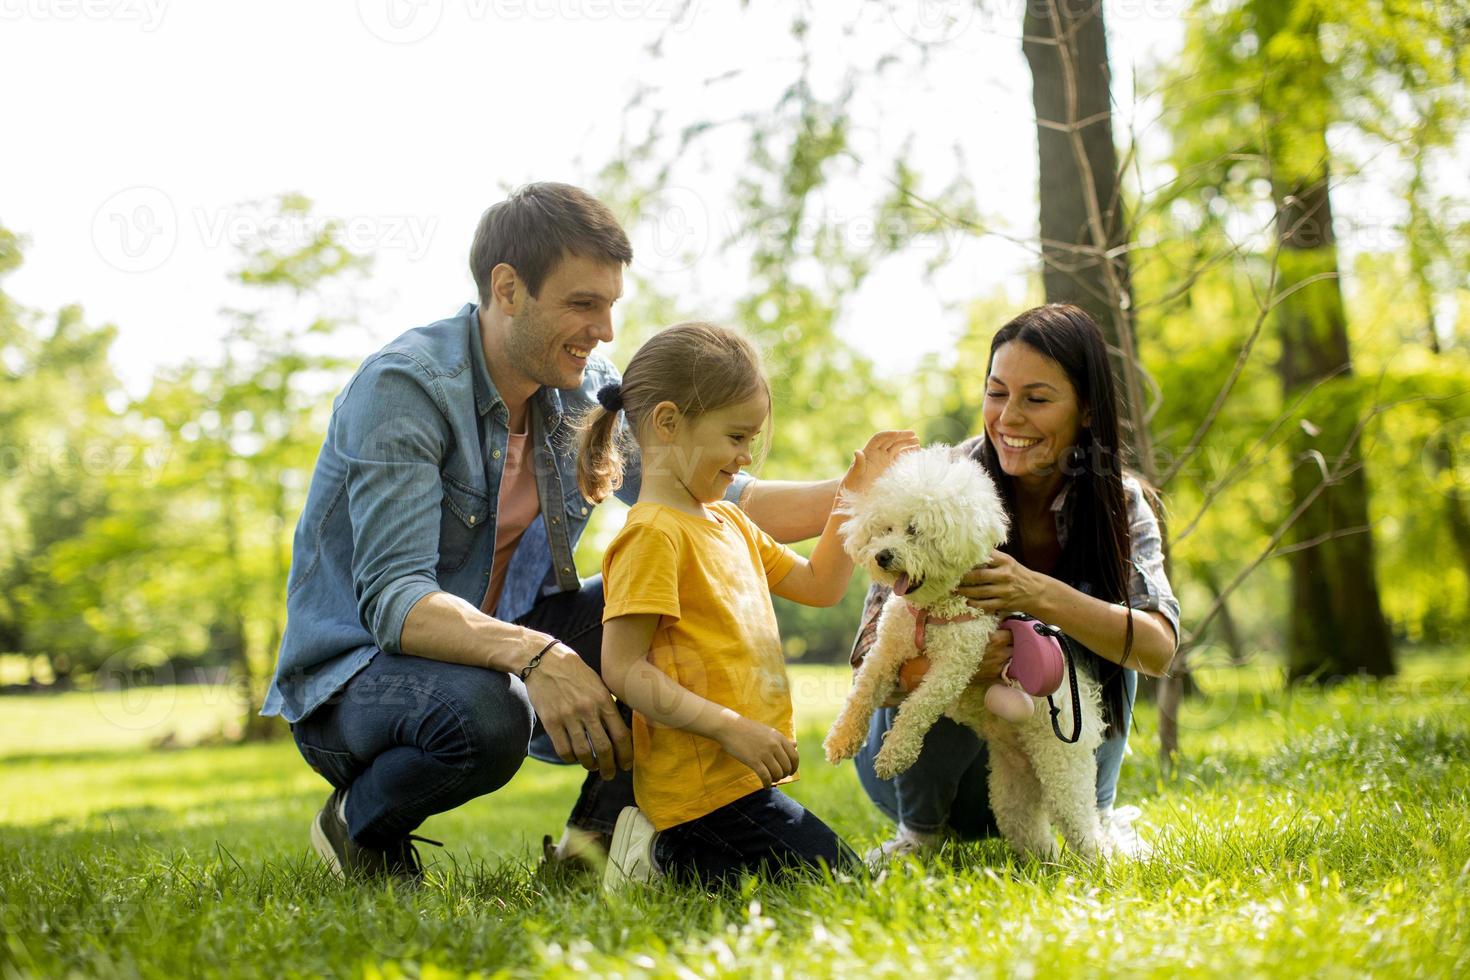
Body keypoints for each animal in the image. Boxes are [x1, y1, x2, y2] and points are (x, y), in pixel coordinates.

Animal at [829, 443, 1105, 858]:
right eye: (884, 528)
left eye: (914, 530)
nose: (882, 556)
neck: (931, 607)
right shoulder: (886, 650)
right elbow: (862, 691)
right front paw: (841, 739)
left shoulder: (955, 665)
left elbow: (918, 706)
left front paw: (895, 754)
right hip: (1013, 788)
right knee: (1033, 834)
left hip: (1063, 774)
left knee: (1090, 835)